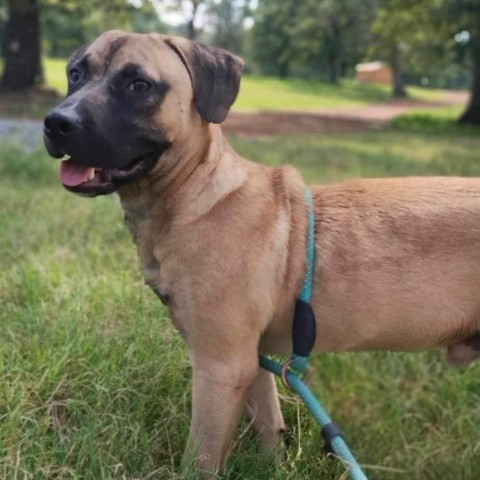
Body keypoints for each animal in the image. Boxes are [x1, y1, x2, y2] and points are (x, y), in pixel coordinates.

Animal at [43, 30, 480, 472]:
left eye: (139, 85)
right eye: (75, 73)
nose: (56, 123)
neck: (194, 193)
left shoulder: (220, 367)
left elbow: (199, 459)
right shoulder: (251, 361)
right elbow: (270, 425)